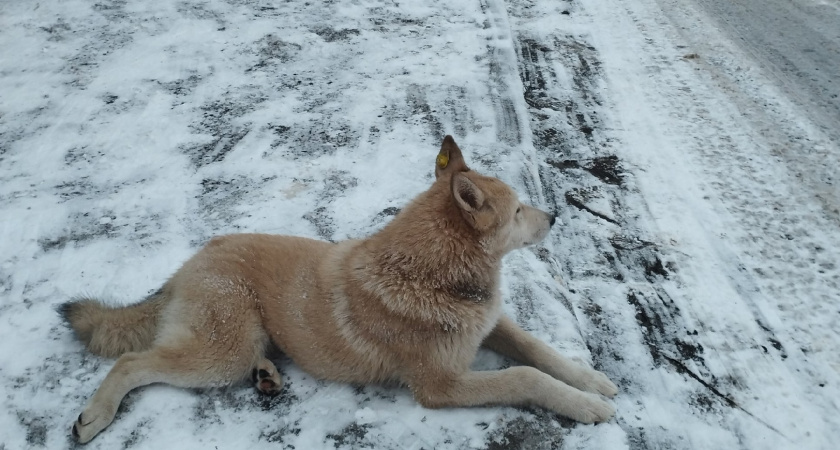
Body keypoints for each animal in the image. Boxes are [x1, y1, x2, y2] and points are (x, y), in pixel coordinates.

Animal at [60, 134, 616, 442]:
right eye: (520, 210)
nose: (556, 217)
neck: (430, 272)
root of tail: (189, 263)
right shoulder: (440, 387)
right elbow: (526, 376)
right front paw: (586, 406)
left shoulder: (491, 322)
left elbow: (536, 349)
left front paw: (590, 380)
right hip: (220, 353)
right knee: (132, 362)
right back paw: (96, 415)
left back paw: (267, 375)